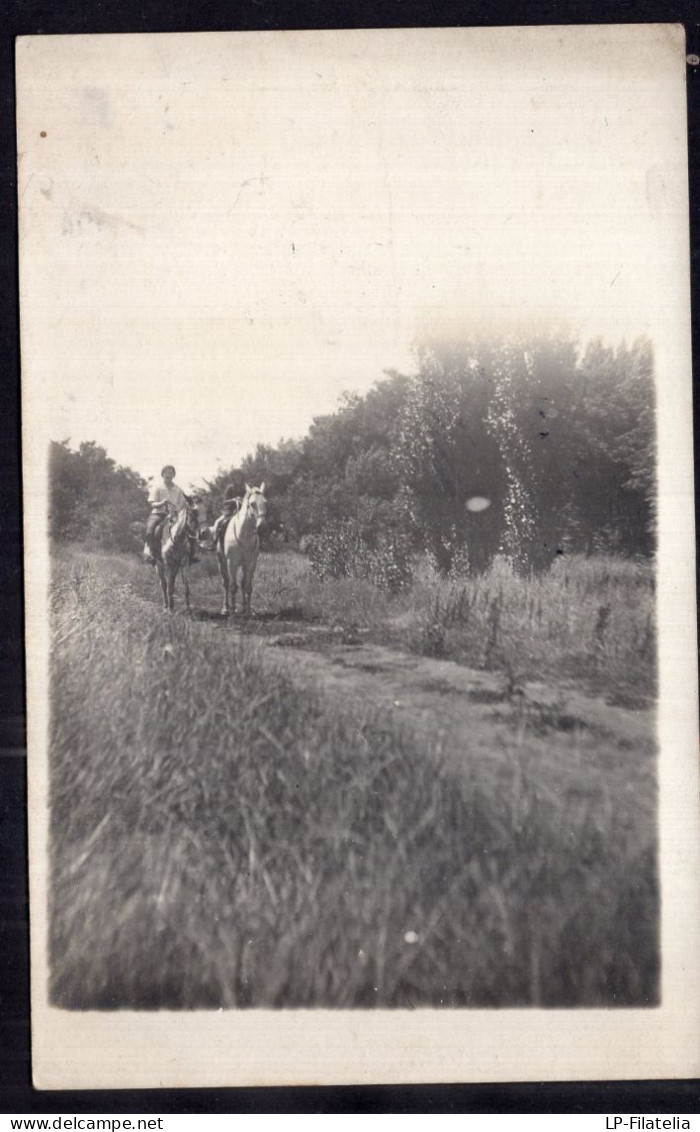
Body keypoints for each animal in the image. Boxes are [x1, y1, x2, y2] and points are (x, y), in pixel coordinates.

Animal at [216, 479, 266, 615]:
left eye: (265, 502)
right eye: (252, 504)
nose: (262, 527)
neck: (242, 535)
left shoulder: (251, 564)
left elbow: (248, 586)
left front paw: (248, 610)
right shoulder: (231, 563)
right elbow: (233, 587)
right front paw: (233, 611)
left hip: (244, 565)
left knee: (243, 583)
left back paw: (243, 608)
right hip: (222, 562)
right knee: (226, 583)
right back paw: (226, 608)